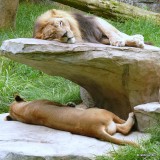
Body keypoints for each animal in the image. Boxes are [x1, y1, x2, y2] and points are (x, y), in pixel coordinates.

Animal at [5, 95, 137, 146]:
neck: (21, 111)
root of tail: (95, 130)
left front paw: (71, 104)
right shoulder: (52, 102)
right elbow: (63, 104)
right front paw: (71, 104)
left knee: (122, 128)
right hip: (105, 112)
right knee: (124, 126)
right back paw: (132, 114)